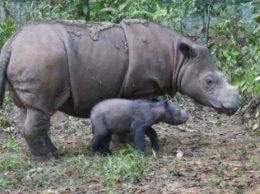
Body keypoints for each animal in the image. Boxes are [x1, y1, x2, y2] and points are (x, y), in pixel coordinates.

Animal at [0, 19, 240, 161]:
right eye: (209, 82)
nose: (234, 106)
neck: (178, 59)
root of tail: (11, 42)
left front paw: (121, 142)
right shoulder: (143, 86)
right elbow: (136, 111)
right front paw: (130, 144)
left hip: (29, 59)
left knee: (30, 110)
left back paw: (52, 153)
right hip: (39, 58)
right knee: (40, 110)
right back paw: (48, 159)